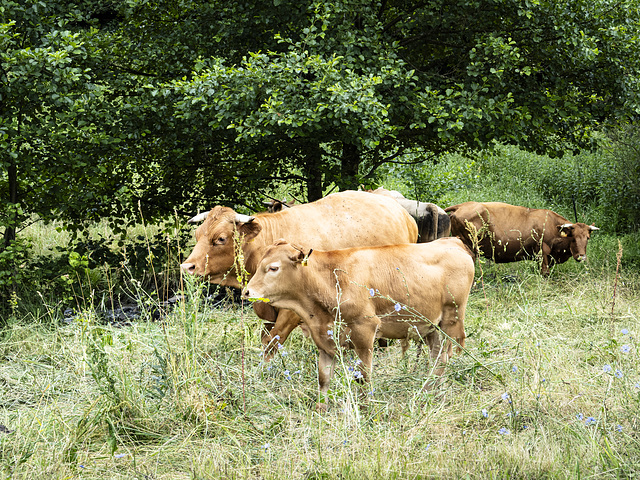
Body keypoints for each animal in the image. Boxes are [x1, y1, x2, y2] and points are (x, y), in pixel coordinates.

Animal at [181, 190, 420, 356]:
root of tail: (403, 214)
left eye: (220, 238)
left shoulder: (292, 311)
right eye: (197, 234)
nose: (187, 267)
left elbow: (272, 342)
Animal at [244, 238, 476, 410]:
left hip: (451, 321)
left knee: (443, 358)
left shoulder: (364, 332)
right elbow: (323, 378)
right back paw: (429, 392)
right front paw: (321, 409)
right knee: (436, 358)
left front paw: (366, 408)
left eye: (273, 268)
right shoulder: (325, 340)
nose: (246, 292)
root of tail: (452, 241)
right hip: (431, 327)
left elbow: (363, 376)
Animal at [444, 200, 600, 274]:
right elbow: (545, 272)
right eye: (573, 238)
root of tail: (462, 205)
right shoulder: (542, 251)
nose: (581, 256)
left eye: (587, 238)